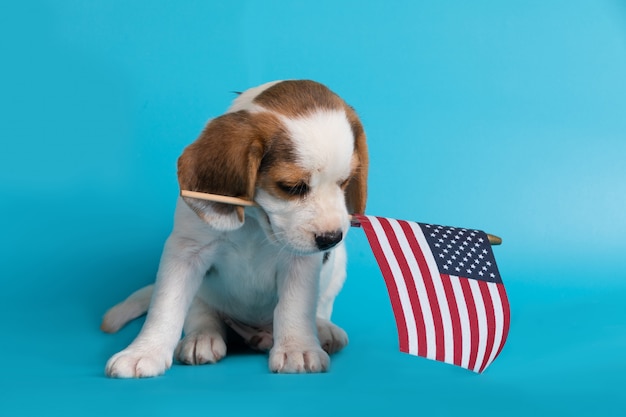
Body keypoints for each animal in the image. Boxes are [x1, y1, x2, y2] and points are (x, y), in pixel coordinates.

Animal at [100, 79, 368, 376]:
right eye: (291, 187)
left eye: (345, 182)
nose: (331, 238)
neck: (254, 223)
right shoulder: (185, 253)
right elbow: (166, 306)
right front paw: (144, 351)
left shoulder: (300, 261)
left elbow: (295, 307)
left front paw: (297, 348)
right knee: (201, 313)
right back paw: (202, 337)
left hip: (337, 267)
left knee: (320, 306)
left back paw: (323, 330)